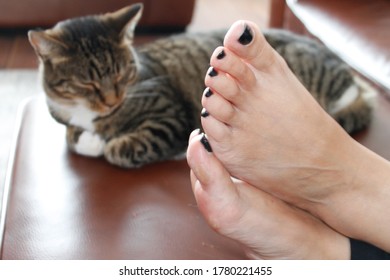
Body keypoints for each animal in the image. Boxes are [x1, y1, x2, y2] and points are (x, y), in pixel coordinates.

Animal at [27, 3, 374, 168]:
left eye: (123, 75)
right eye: (87, 83)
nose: (113, 100)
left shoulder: (169, 115)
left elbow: (120, 149)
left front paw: (107, 143)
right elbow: (71, 137)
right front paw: (88, 139)